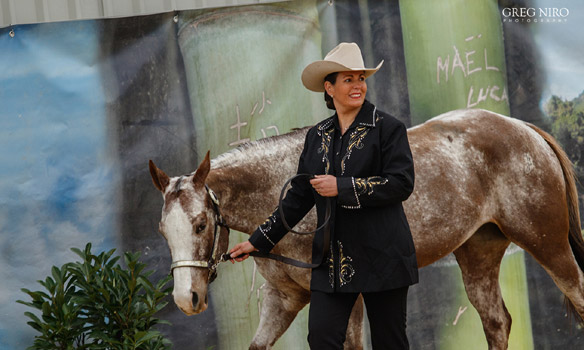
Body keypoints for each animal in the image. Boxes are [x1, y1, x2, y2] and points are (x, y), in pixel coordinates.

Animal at [147, 108, 584, 348]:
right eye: (163, 231)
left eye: (201, 224)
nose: (187, 298)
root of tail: (523, 129)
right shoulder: (282, 300)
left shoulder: (347, 300)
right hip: (478, 256)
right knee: (497, 323)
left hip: (548, 245)